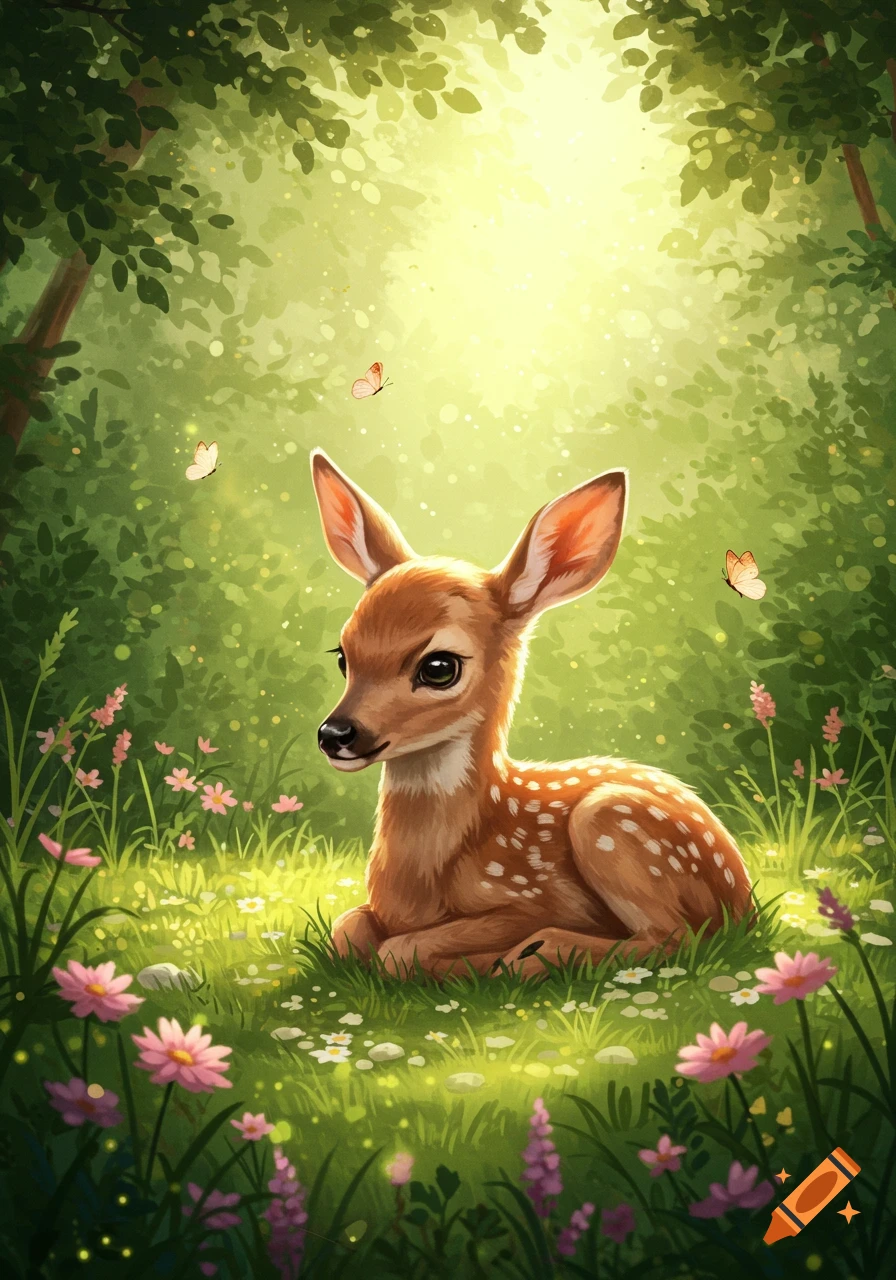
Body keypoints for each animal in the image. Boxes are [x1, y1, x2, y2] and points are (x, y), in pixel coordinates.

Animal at [310, 448, 753, 980]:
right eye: (342, 656)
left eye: (439, 667)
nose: (334, 734)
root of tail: (745, 901)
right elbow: (347, 929)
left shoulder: (534, 899)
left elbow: (400, 951)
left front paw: (476, 961)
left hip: (610, 825)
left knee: (674, 937)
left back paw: (533, 954)